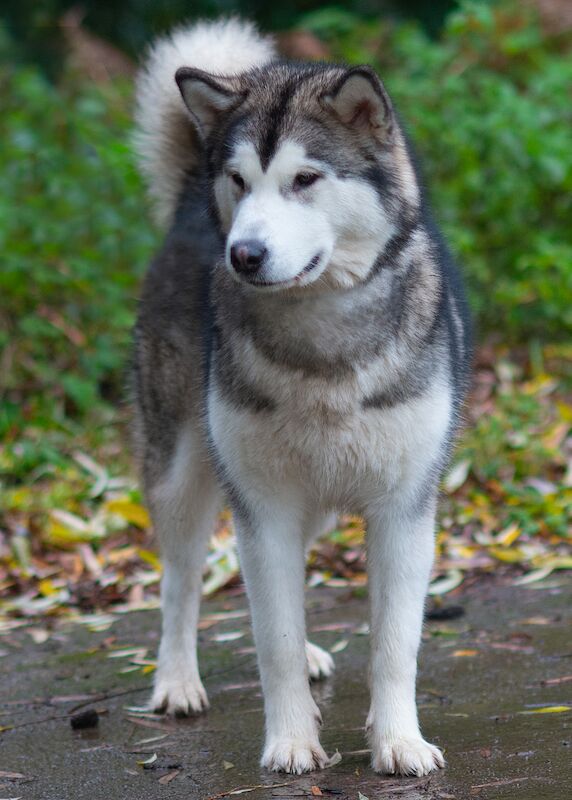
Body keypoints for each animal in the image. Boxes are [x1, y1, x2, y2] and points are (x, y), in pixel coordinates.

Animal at [132, 18, 472, 780]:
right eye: (240, 181)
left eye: (305, 180)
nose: (244, 254)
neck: (323, 346)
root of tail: (186, 204)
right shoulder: (263, 503)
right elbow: (273, 640)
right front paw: (290, 741)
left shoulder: (404, 509)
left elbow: (394, 644)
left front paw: (398, 740)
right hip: (187, 474)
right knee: (181, 580)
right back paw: (176, 680)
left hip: (308, 500)